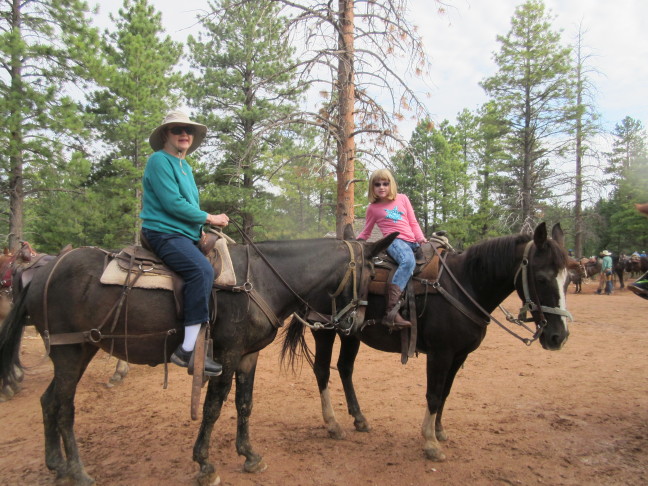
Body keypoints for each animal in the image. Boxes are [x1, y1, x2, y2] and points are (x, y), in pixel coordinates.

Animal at [0, 233, 394, 486]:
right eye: (371, 273)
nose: (355, 324)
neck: (260, 280)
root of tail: (44, 272)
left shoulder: (248, 357)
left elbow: (245, 404)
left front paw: (249, 455)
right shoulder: (228, 355)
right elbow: (213, 406)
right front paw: (205, 463)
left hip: (76, 351)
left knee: (49, 401)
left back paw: (57, 465)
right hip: (72, 351)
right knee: (65, 406)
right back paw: (79, 472)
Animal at [280, 222, 568, 462]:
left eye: (568, 278)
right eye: (541, 278)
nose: (559, 337)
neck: (465, 285)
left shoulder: (459, 355)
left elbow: (445, 393)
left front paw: (439, 431)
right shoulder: (441, 354)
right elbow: (433, 394)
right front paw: (430, 443)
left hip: (351, 331)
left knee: (344, 368)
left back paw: (359, 419)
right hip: (325, 331)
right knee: (322, 371)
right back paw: (332, 424)